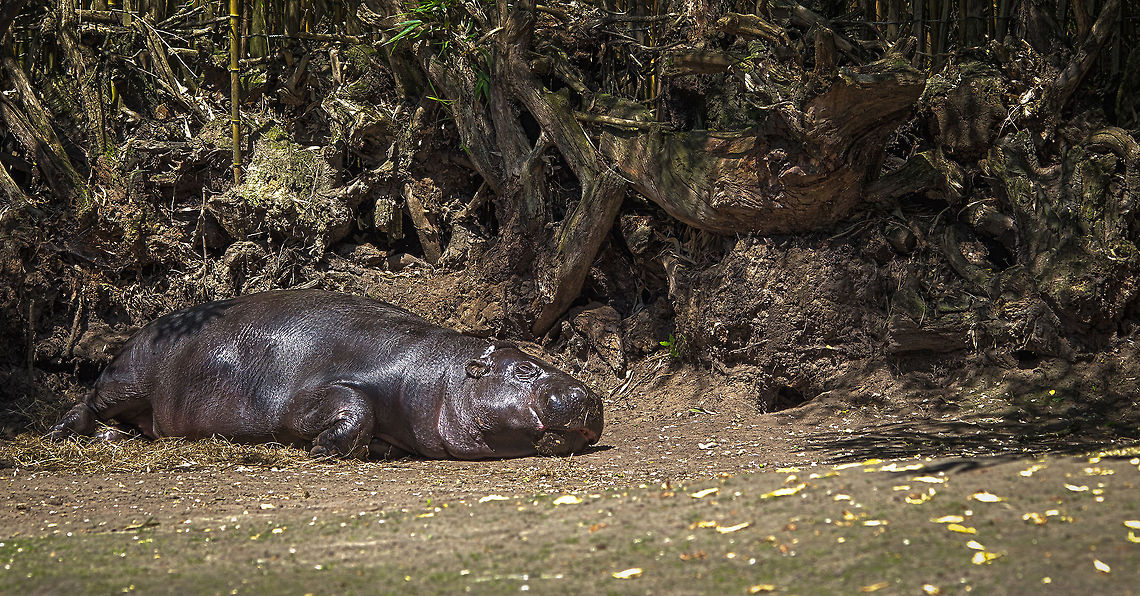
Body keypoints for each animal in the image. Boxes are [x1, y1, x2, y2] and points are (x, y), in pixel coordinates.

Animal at [47, 290, 603, 459]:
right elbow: (352, 407)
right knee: (86, 402)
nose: (590, 396)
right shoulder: (316, 392)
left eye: (538, 359)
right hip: (129, 377)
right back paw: (75, 433)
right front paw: (322, 449)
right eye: (524, 368)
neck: (440, 375)